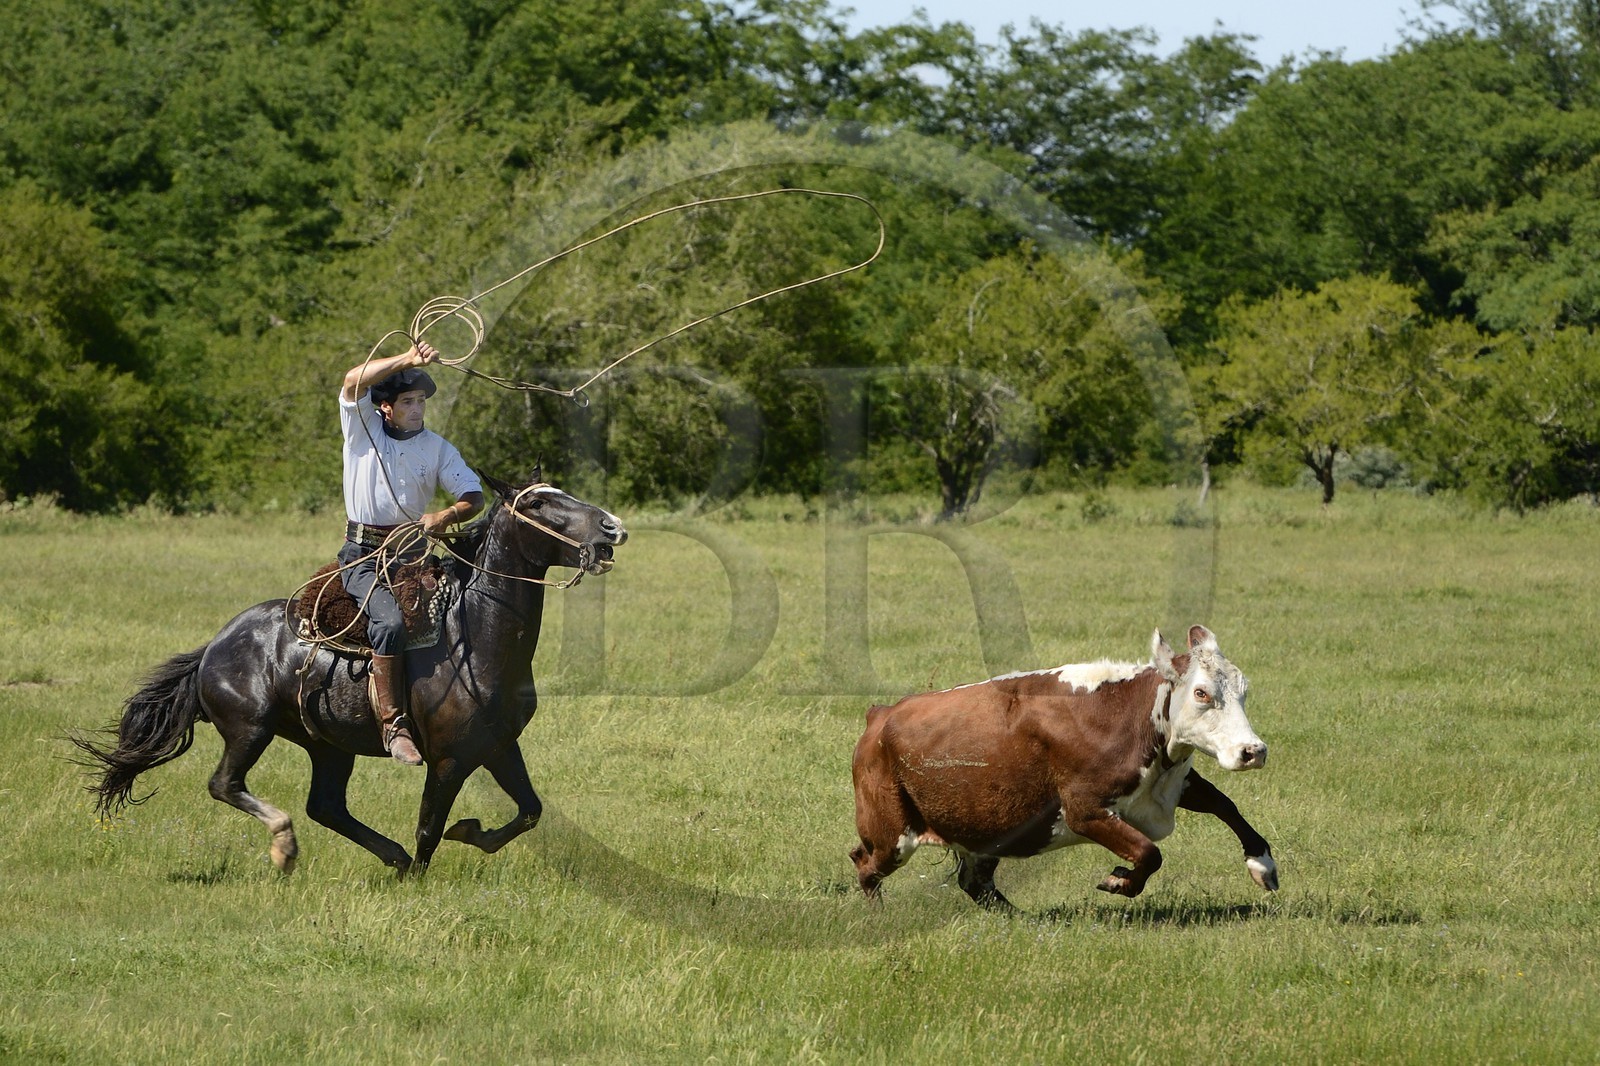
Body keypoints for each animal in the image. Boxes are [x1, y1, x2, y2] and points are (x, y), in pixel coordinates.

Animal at [849, 625, 1277, 908]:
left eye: (1243, 690)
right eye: (1201, 693)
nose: (1252, 751)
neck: (1125, 716)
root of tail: (880, 715)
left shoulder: (1171, 783)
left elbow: (1225, 806)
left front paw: (1262, 864)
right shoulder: (1084, 811)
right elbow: (1148, 852)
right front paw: (1119, 881)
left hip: (985, 832)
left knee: (973, 881)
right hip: (890, 835)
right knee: (864, 865)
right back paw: (878, 916)